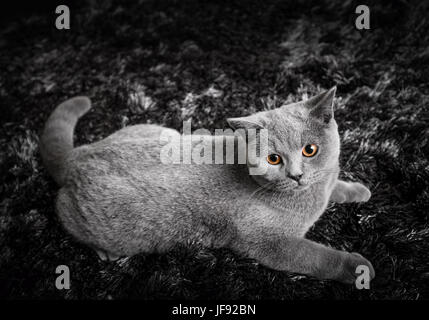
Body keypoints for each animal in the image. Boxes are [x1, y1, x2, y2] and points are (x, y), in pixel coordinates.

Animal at [41, 87, 374, 282]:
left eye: (310, 150)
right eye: (274, 158)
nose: (296, 175)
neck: (310, 197)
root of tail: (79, 155)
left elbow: (333, 182)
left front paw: (357, 190)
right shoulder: (270, 244)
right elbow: (318, 258)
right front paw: (357, 269)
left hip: (163, 131)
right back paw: (107, 253)